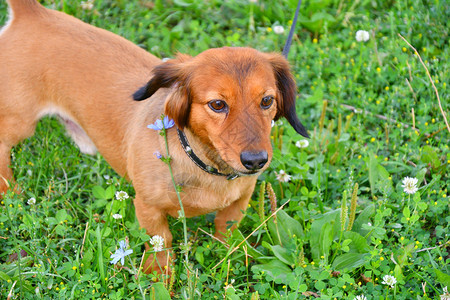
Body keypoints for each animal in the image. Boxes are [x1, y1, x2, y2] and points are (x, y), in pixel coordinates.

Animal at [0, 0, 308, 272]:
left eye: (267, 101)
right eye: (217, 104)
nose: (256, 161)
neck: (204, 165)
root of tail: (33, 13)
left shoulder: (239, 202)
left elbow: (226, 231)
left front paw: (230, 259)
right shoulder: (147, 209)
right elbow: (162, 245)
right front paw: (159, 278)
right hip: (20, 121)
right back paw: (10, 190)